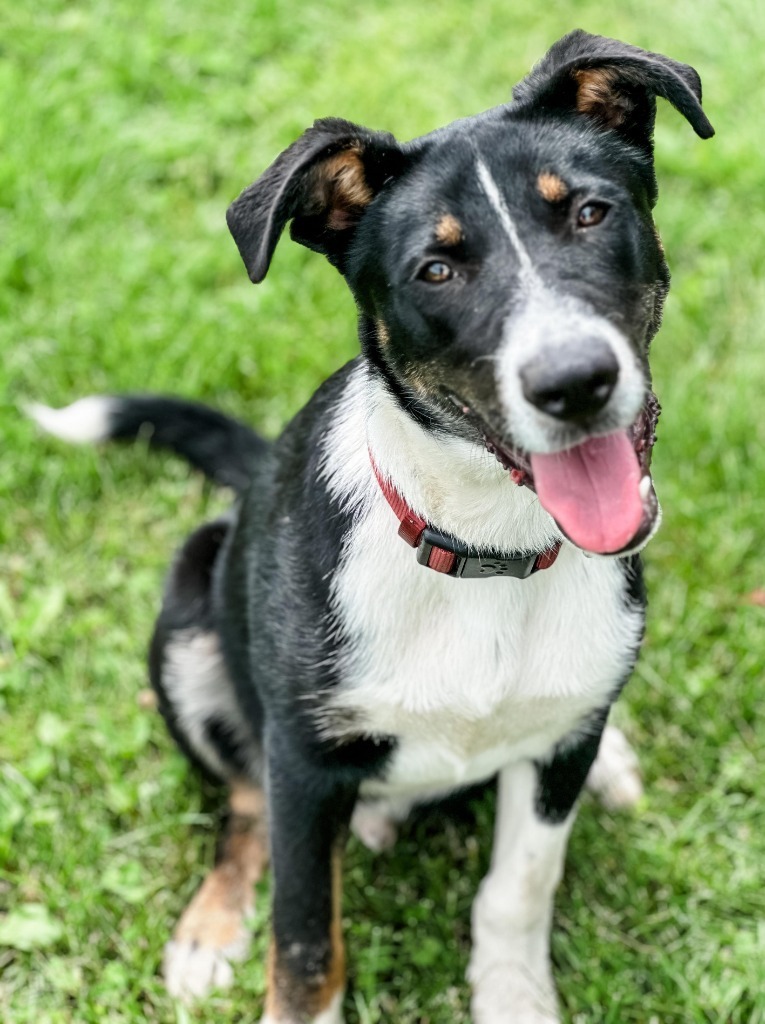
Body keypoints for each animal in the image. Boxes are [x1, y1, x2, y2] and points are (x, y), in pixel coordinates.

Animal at [29, 29, 712, 1024]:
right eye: (436, 269)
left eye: (589, 213)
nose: (575, 382)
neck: (485, 551)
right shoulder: (304, 769)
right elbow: (304, 934)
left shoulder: (551, 762)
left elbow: (518, 887)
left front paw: (512, 995)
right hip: (191, 620)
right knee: (241, 804)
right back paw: (211, 929)